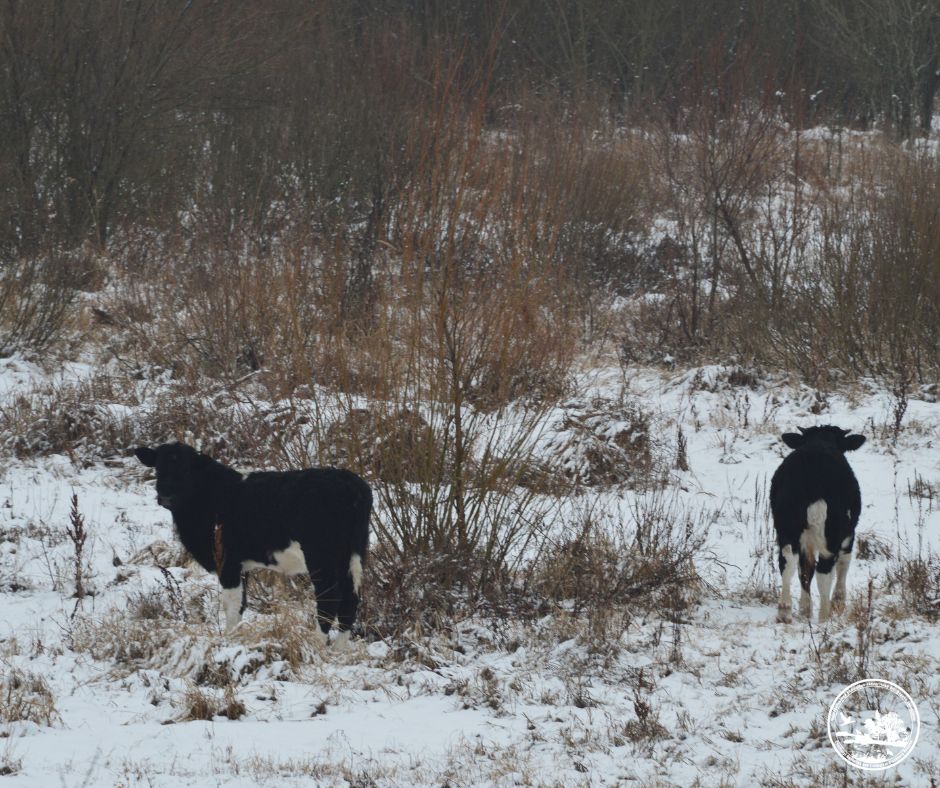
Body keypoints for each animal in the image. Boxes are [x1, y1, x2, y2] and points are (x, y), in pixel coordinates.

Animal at [136, 444, 370, 648]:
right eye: (158, 467)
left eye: (185, 469)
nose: (166, 497)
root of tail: (351, 483)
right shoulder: (241, 565)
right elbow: (241, 603)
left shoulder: (227, 561)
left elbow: (231, 604)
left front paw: (228, 639)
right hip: (353, 555)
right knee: (351, 599)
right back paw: (339, 650)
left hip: (321, 556)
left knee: (329, 598)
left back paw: (317, 644)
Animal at [772, 424, 868, 620]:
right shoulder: (849, 534)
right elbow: (843, 563)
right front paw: (838, 602)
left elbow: (804, 569)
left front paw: (804, 609)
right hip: (831, 532)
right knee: (824, 570)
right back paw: (825, 616)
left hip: (787, 525)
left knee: (787, 561)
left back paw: (785, 609)